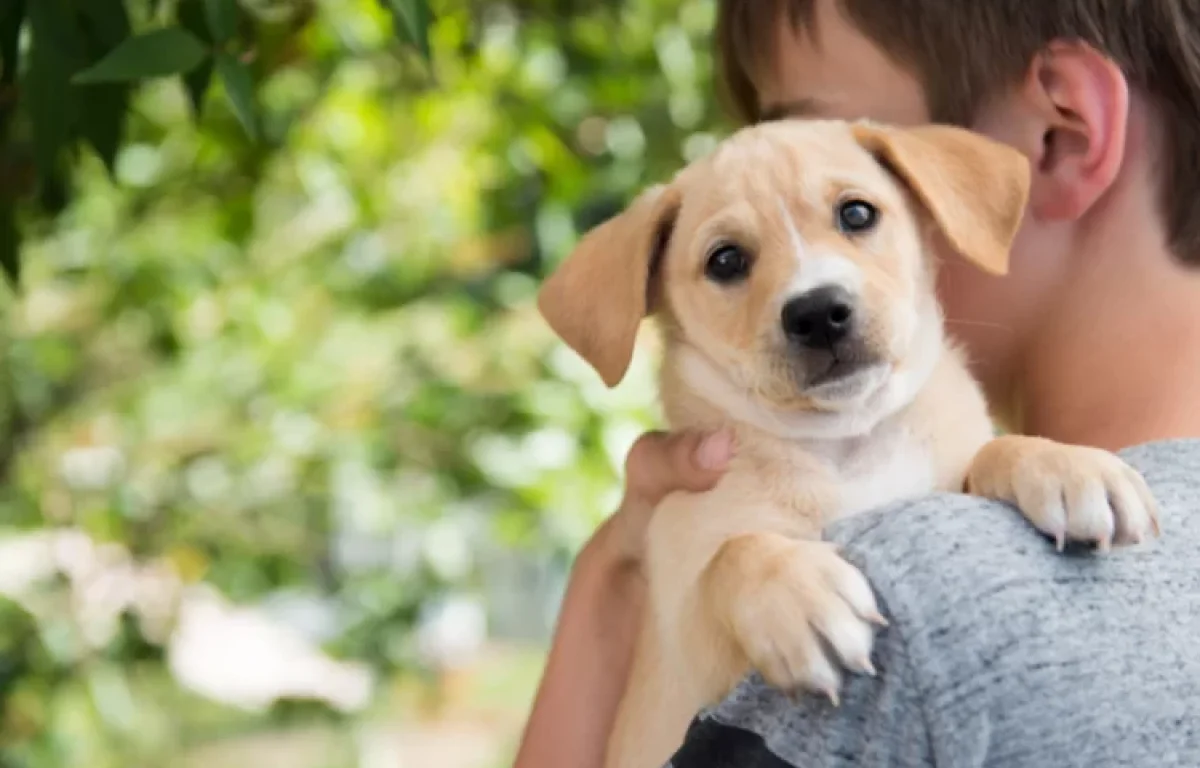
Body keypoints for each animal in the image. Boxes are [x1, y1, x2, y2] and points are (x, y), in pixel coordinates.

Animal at [540, 118, 1156, 768]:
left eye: (856, 214)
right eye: (726, 260)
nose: (818, 312)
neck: (849, 440)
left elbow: (990, 451)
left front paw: (1065, 464)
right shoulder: (689, 651)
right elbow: (734, 553)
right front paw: (797, 596)